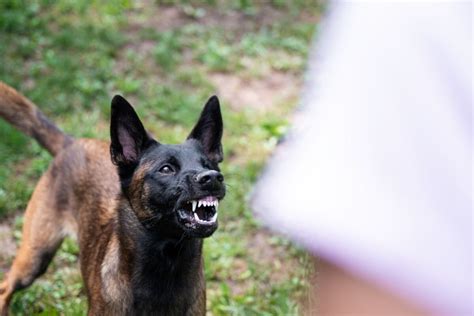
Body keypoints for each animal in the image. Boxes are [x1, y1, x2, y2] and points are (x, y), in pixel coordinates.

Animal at [0, 82, 225, 316]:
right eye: (166, 169)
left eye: (208, 165)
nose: (212, 178)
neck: (168, 262)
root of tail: (71, 143)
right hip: (35, 256)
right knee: (5, 286)